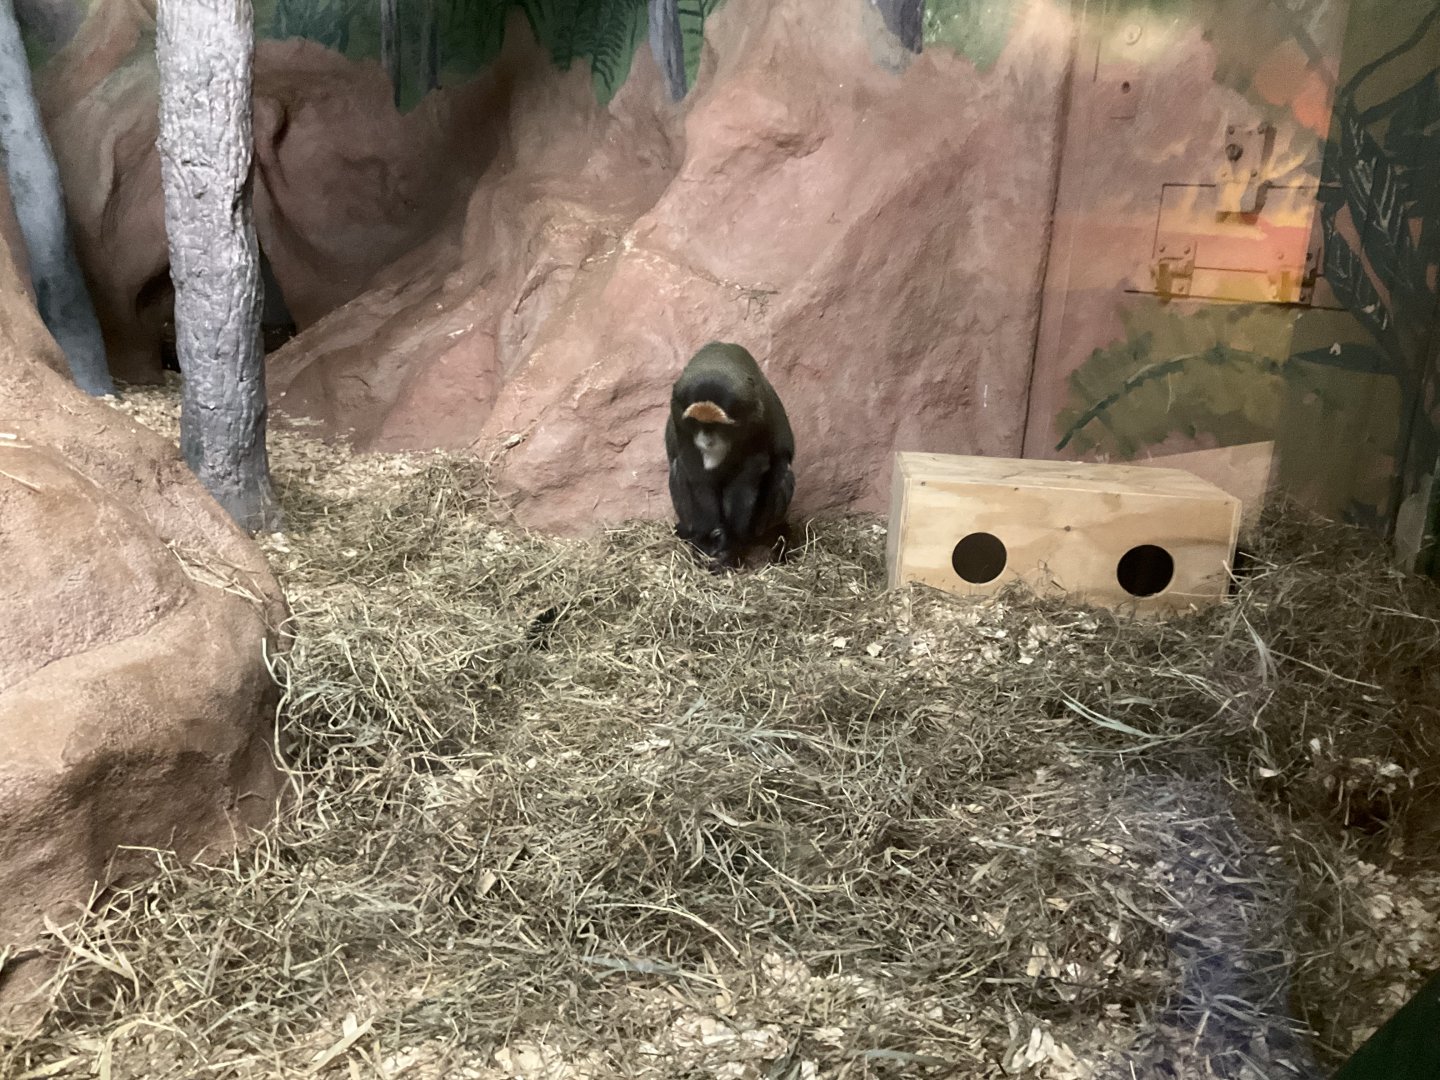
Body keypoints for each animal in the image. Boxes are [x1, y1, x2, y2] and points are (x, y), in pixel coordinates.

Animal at [664, 341, 796, 571]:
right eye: (697, 423)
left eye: (718, 425)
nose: (707, 439)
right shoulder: (679, 413)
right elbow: (694, 469)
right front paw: (707, 542)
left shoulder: (754, 416)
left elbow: (751, 470)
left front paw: (730, 544)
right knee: (678, 468)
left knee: (782, 470)